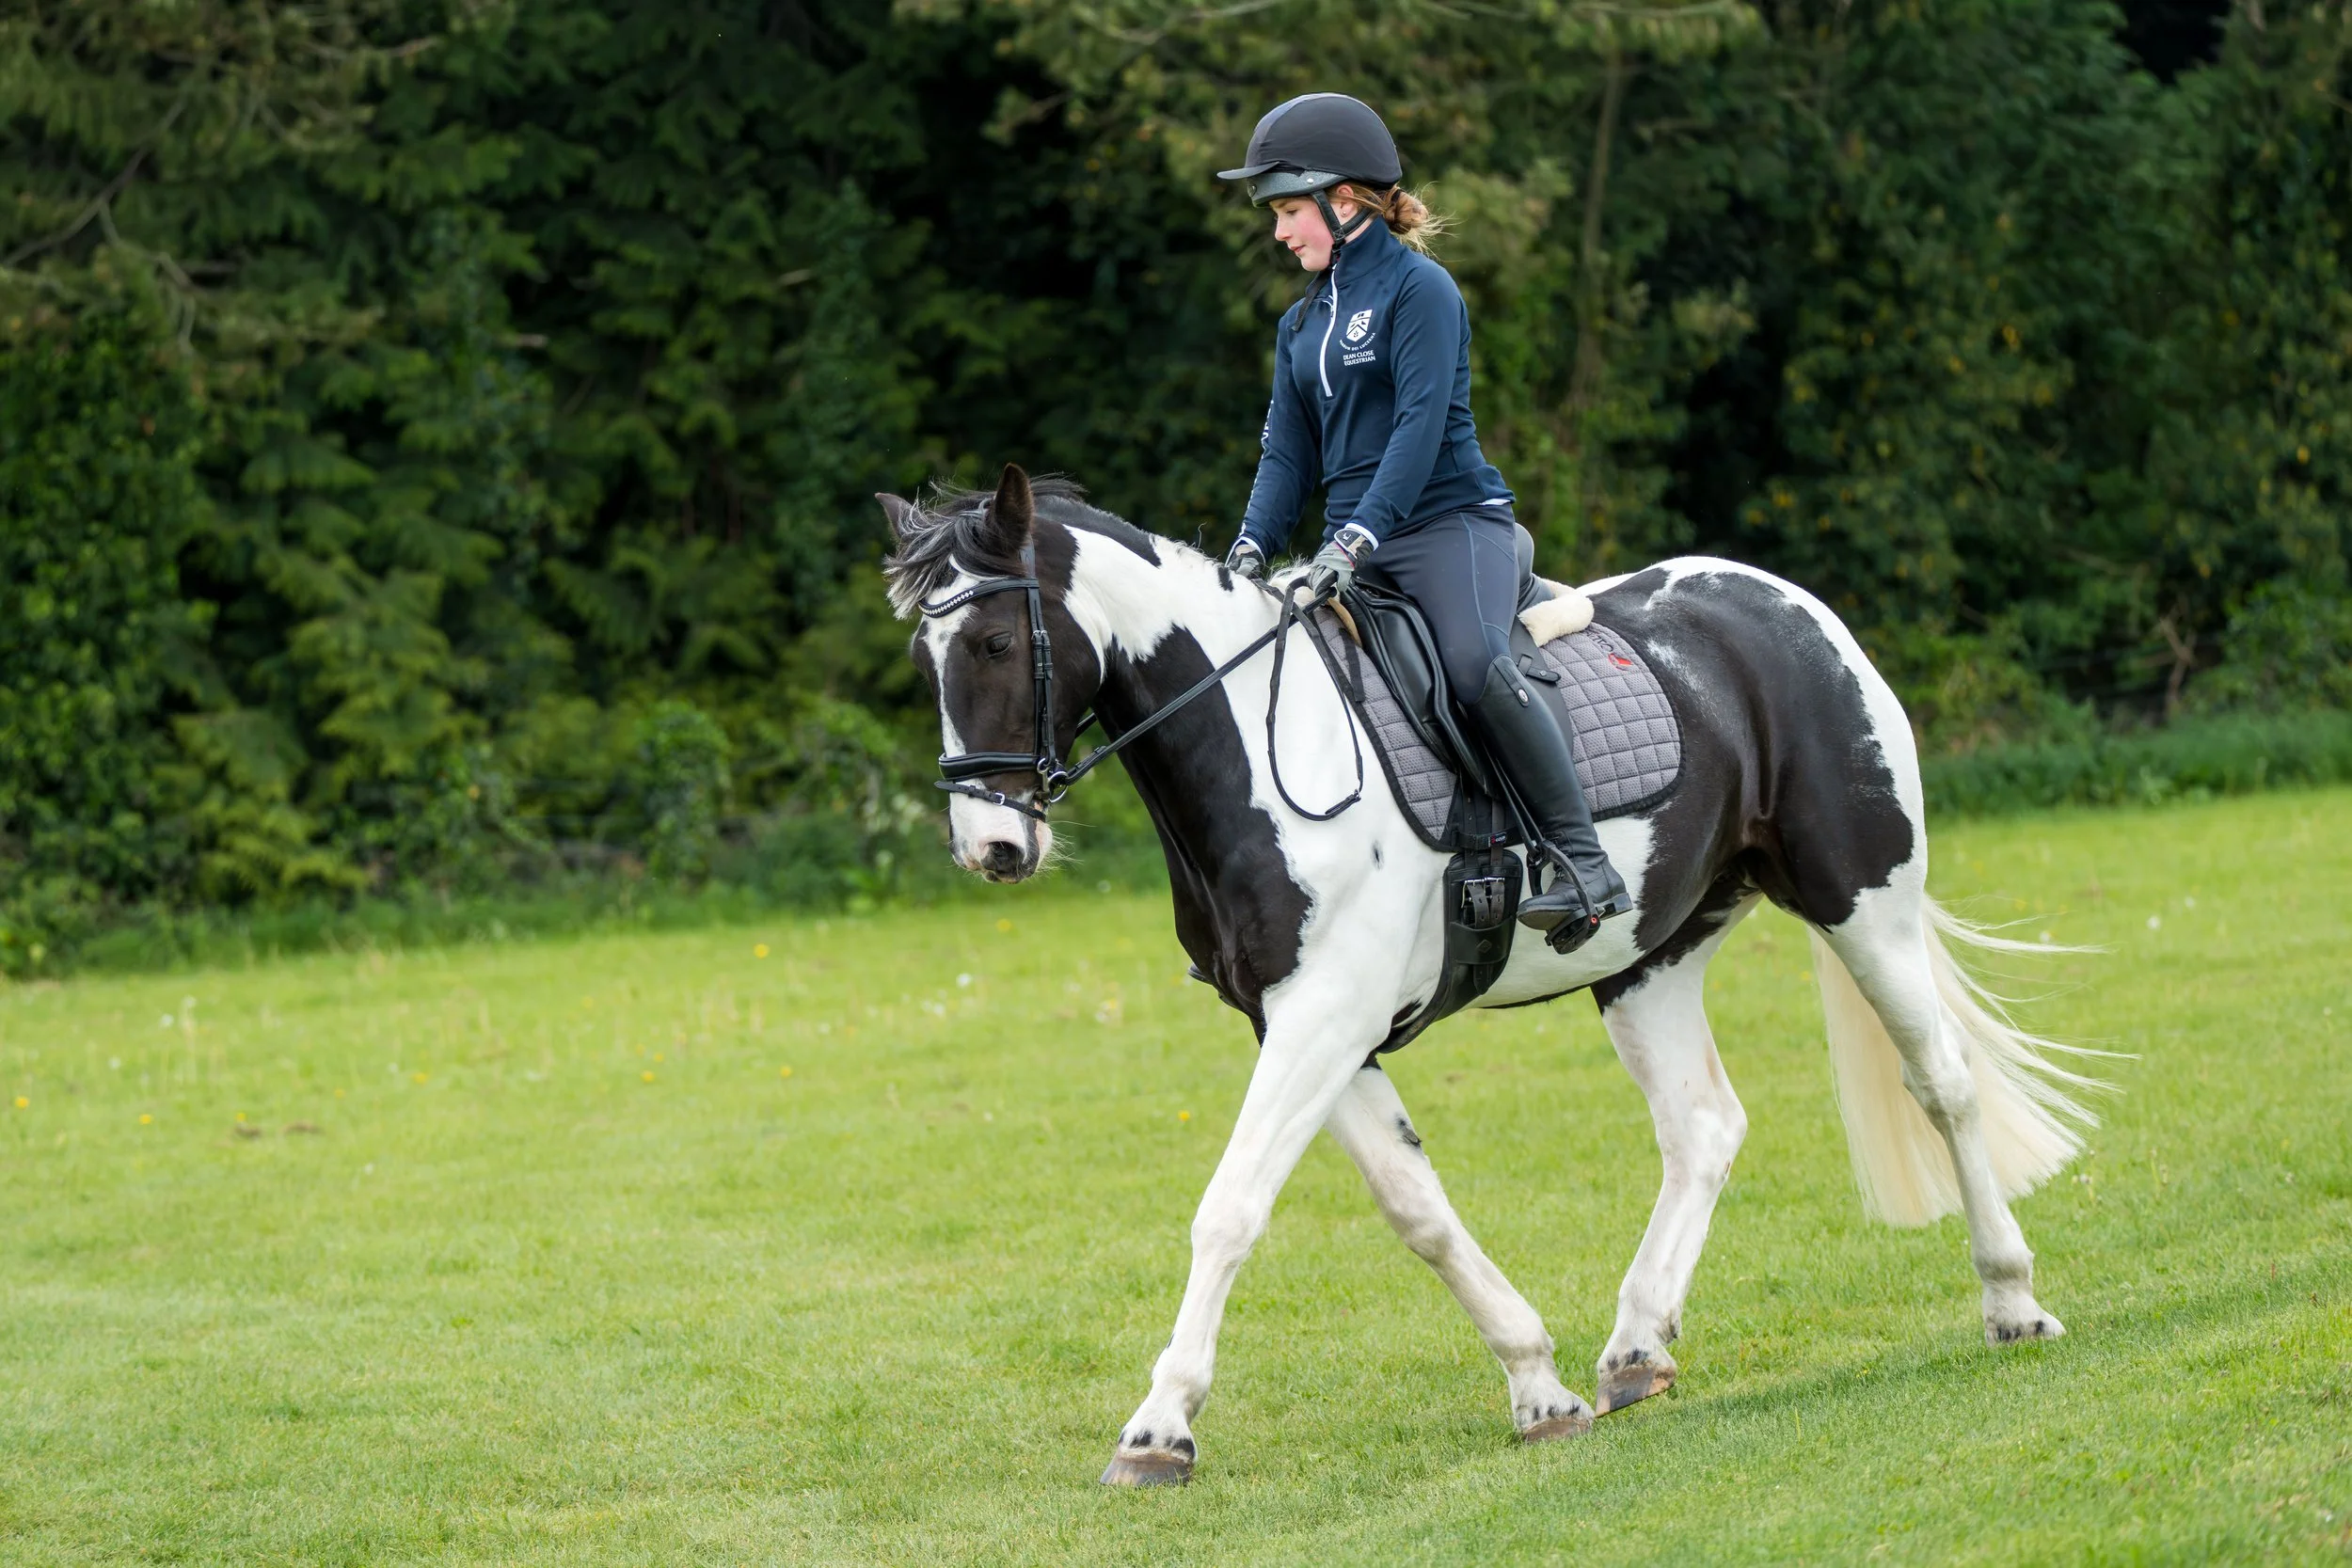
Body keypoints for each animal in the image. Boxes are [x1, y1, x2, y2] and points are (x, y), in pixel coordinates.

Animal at [879, 463, 2095, 1487]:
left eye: (994, 641)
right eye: (922, 660)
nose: (992, 846)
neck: (1252, 752)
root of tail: (1786, 604)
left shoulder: (1324, 1018)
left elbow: (1229, 1208)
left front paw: (1159, 1427)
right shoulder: (1309, 1024)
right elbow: (1416, 1208)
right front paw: (1539, 1386)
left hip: (1861, 900)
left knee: (1942, 1082)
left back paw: (2012, 1300)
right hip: (1649, 957)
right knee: (1703, 1126)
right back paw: (1635, 1346)